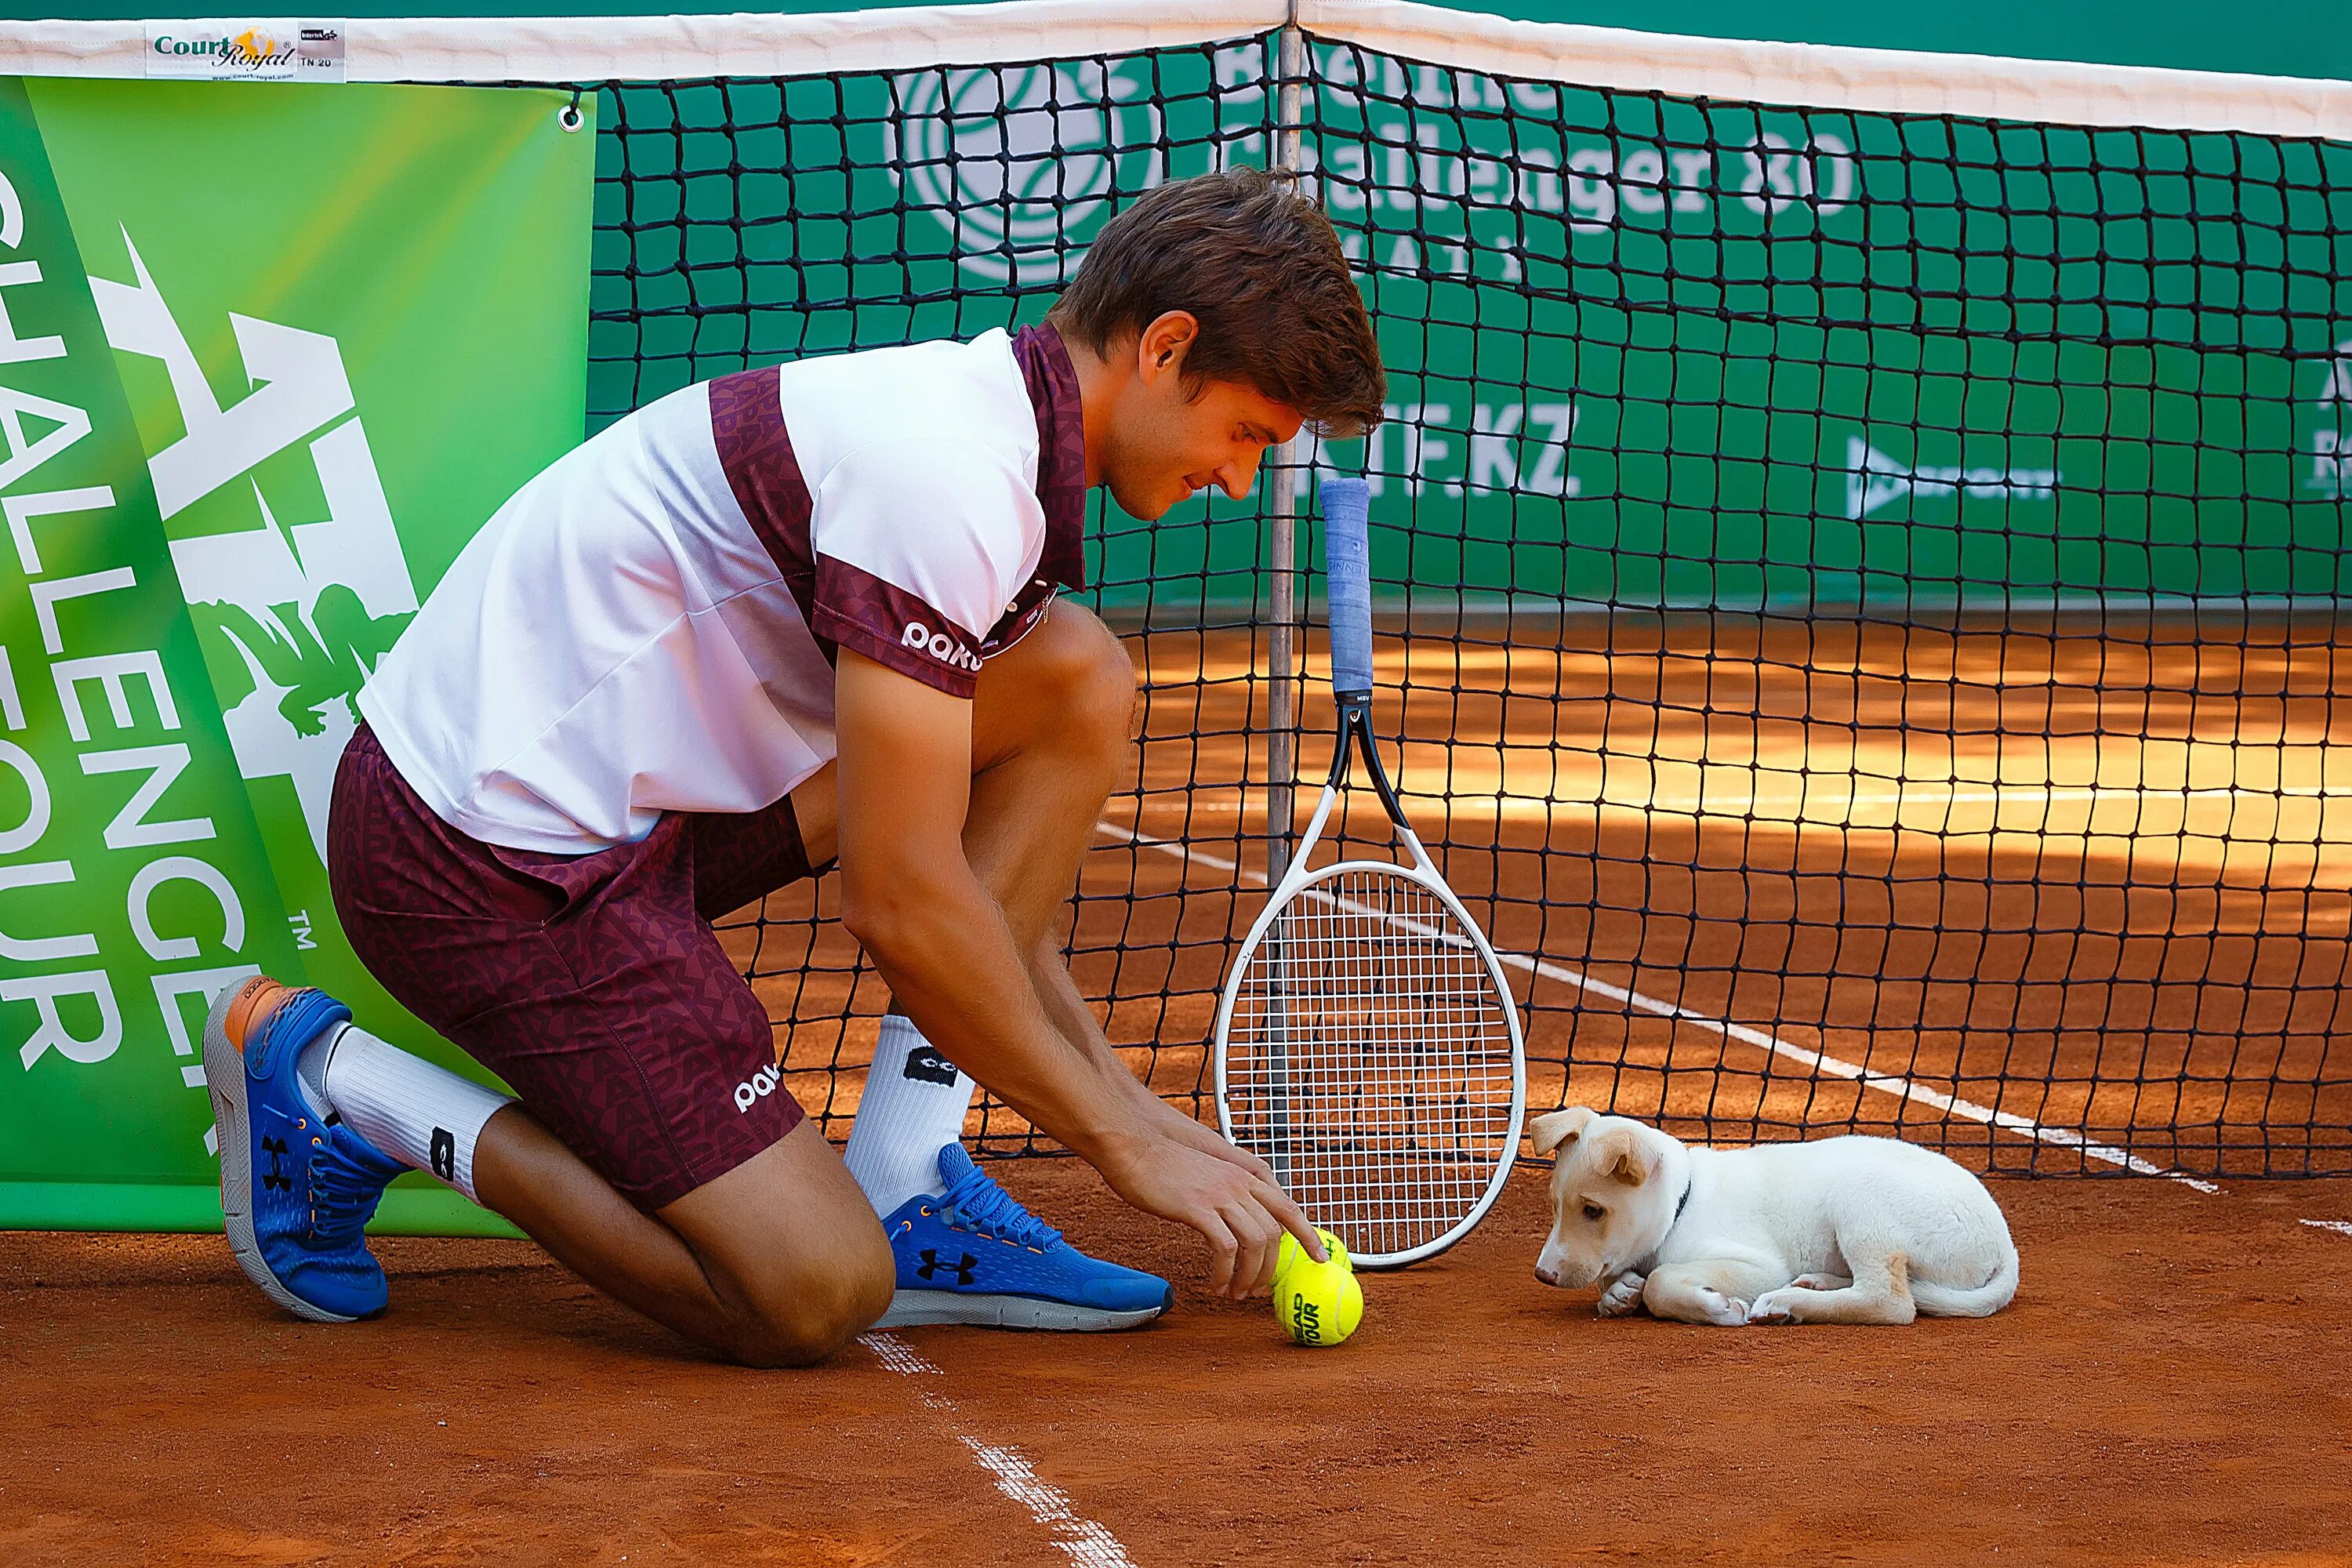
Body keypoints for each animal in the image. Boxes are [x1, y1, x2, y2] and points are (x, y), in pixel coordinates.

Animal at [1534, 1105, 2013, 1326]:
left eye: (1593, 1211)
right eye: (1554, 1206)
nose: (1543, 1276)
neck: (1682, 1203)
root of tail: (2005, 1247)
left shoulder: (1759, 1264)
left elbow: (1661, 1281)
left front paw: (1718, 1309)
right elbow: (1622, 1278)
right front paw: (1618, 1294)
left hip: (1862, 1200)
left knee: (1890, 1300)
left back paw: (1787, 1302)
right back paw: (1813, 1284)